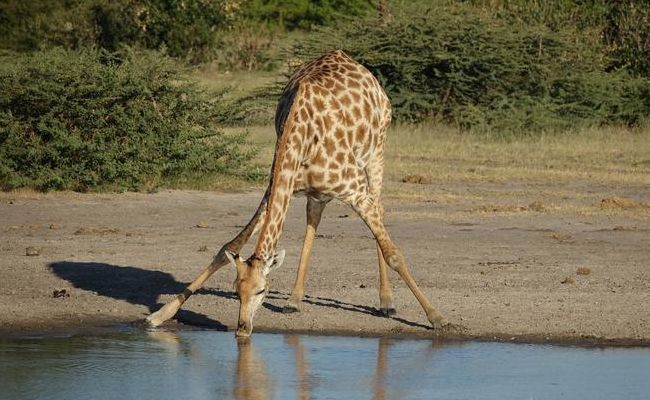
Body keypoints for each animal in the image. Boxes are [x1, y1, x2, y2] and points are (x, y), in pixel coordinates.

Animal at [144, 50, 442, 338]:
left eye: (262, 290)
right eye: (236, 289)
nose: (242, 329)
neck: (303, 138)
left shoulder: (355, 191)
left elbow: (394, 254)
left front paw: (435, 316)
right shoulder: (277, 187)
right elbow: (229, 246)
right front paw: (160, 315)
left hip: (375, 155)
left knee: (379, 211)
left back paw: (386, 302)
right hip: (318, 191)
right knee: (314, 217)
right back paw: (294, 299)